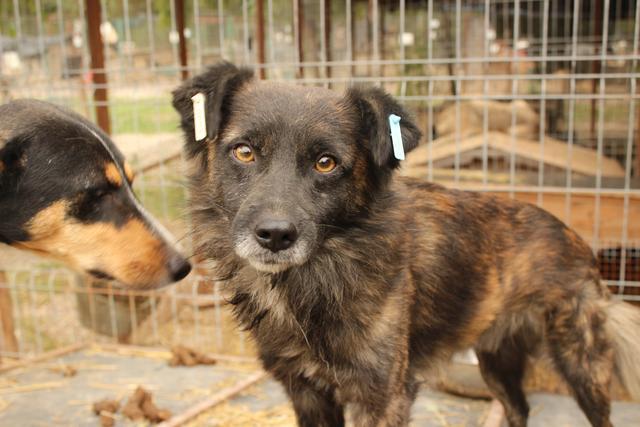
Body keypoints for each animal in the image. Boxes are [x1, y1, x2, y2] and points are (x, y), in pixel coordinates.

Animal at [172, 62, 640, 427]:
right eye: (244, 152)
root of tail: (576, 239)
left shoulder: (382, 396)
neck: (313, 281)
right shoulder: (306, 392)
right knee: (518, 409)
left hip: (581, 362)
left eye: (326, 163)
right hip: (497, 360)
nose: (274, 235)